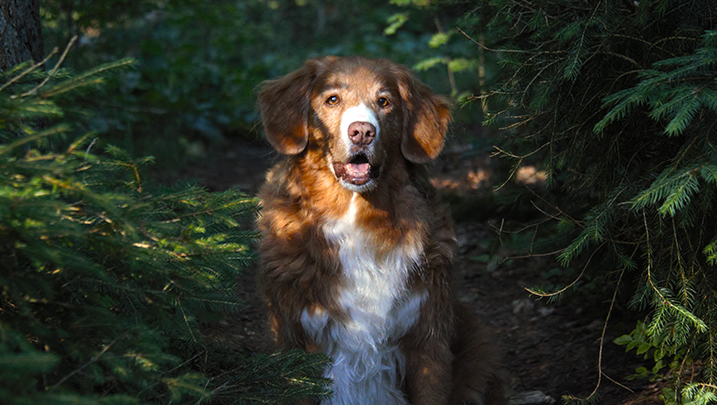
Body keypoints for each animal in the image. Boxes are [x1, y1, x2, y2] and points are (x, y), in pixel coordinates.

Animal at [258, 56, 504, 404]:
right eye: (332, 99)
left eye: (384, 102)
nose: (362, 131)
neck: (355, 215)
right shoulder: (294, 340)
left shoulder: (427, 340)